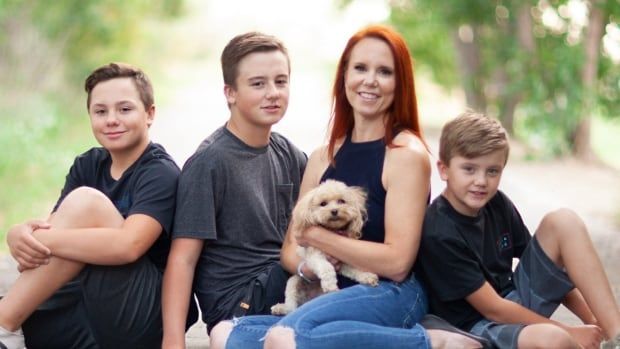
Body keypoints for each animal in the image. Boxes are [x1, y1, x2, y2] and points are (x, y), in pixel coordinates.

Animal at [270, 179, 378, 316]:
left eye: (341, 201)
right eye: (323, 204)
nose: (334, 211)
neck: (331, 231)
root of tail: (308, 300)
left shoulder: (343, 260)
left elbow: (355, 269)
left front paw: (367, 277)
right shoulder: (314, 257)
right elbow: (326, 268)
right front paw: (330, 285)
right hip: (293, 282)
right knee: (291, 306)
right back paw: (281, 308)